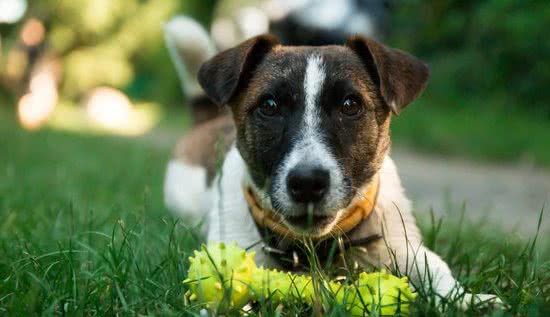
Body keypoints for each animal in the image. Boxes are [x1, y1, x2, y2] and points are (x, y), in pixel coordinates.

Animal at [162, 16, 502, 308]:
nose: (307, 183)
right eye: (269, 106)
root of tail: (208, 118)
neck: (317, 246)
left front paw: (468, 299)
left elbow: (438, 269)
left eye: (350, 104)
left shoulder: (405, 248)